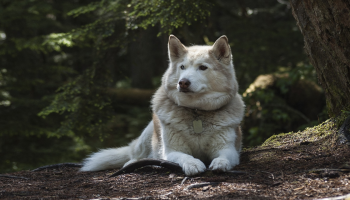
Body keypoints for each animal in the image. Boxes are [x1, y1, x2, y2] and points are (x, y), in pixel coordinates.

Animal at [80, 35, 245, 176]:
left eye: (203, 67)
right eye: (182, 67)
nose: (183, 82)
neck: (196, 111)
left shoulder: (228, 149)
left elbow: (224, 156)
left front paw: (220, 163)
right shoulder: (171, 151)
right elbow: (185, 157)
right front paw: (193, 164)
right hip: (147, 135)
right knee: (135, 155)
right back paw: (134, 163)